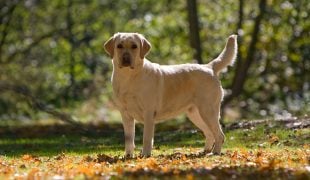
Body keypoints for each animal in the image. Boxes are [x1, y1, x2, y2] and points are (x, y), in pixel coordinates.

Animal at [104, 33, 237, 157]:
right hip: (195, 114)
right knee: (209, 133)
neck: (128, 77)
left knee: (220, 135)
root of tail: (209, 67)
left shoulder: (148, 113)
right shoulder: (125, 114)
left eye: (134, 46)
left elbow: (147, 138)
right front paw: (128, 156)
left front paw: (145, 155)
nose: (126, 58)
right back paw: (205, 151)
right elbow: (129, 139)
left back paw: (215, 152)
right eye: (119, 46)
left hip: (208, 111)